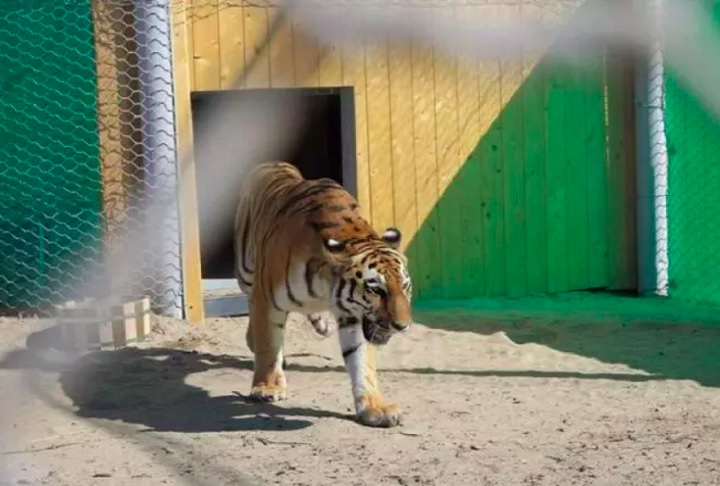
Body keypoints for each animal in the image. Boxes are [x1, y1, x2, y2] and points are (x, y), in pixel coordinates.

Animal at [233, 161, 414, 428]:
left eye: (405, 287)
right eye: (375, 290)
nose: (402, 326)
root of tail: (274, 163)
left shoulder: (354, 316)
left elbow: (361, 360)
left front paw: (375, 407)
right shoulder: (266, 299)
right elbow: (267, 344)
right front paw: (267, 388)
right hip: (246, 272)